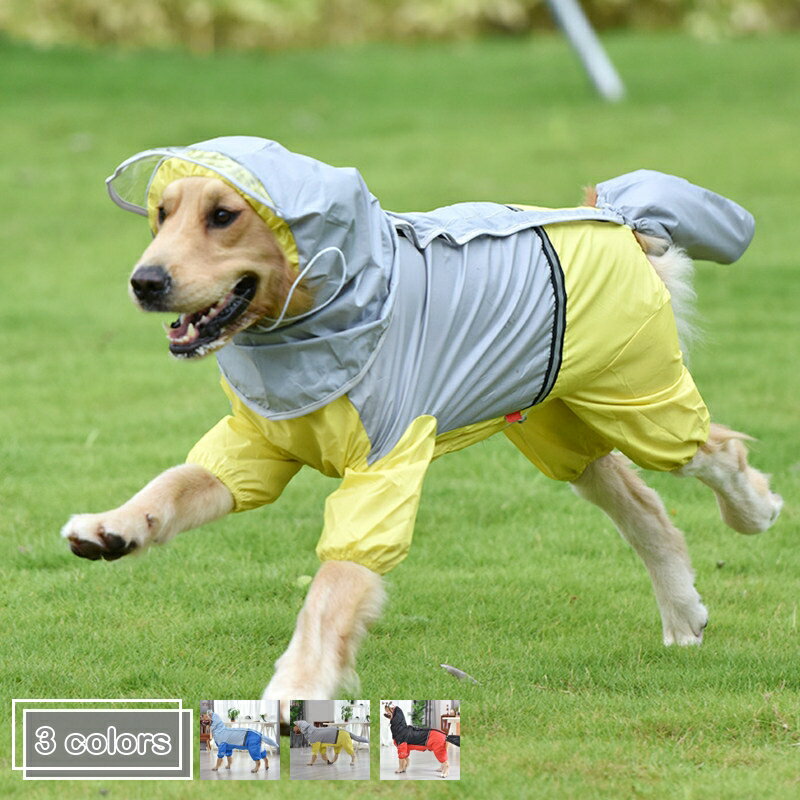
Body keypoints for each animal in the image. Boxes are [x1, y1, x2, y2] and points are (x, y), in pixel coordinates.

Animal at [62, 138, 780, 708]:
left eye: (223, 216)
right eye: (161, 215)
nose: (145, 281)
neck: (321, 319)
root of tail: (617, 217)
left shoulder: (384, 469)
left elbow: (334, 588)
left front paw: (297, 687)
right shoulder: (259, 442)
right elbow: (177, 482)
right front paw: (113, 526)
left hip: (637, 402)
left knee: (716, 450)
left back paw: (755, 512)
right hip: (559, 426)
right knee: (644, 507)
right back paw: (685, 615)